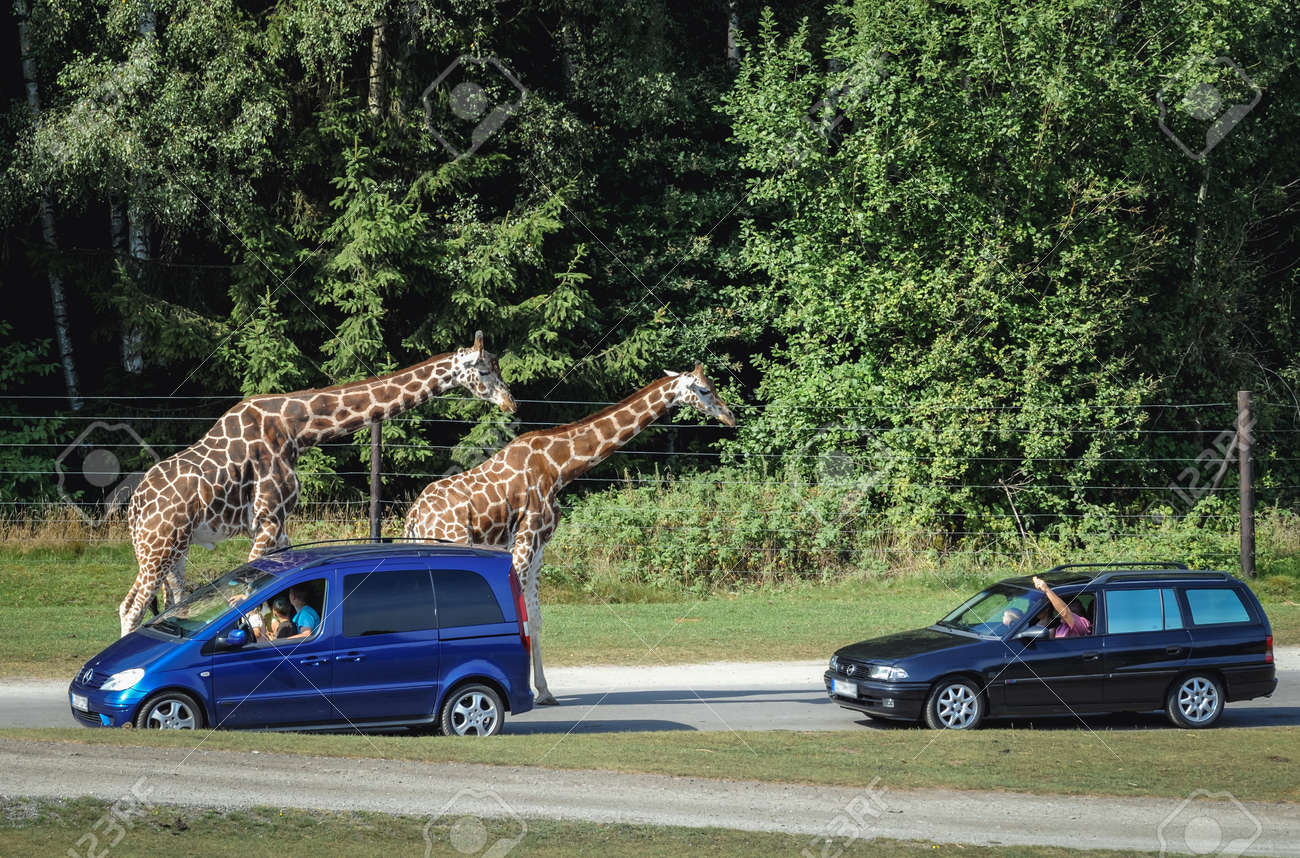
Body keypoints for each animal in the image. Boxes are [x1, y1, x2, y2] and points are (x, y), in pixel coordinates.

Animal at [116, 332, 512, 637]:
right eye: (482, 370)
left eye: (498, 367)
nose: (510, 402)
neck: (296, 430)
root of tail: (134, 508)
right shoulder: (267, 517)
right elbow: (250, 599)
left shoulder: (277, 523)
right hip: (157, 546)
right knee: (130, 606)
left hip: (177, 549)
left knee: (172, 601)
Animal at [400, 361, 738, 702]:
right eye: (704, 389)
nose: (729, 415)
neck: (558, 468)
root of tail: (415, 515)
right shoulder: (526, 539)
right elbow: (519, 616)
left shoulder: (539, 547)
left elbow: (535, 617)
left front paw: (544, 691)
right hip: (451, 541)